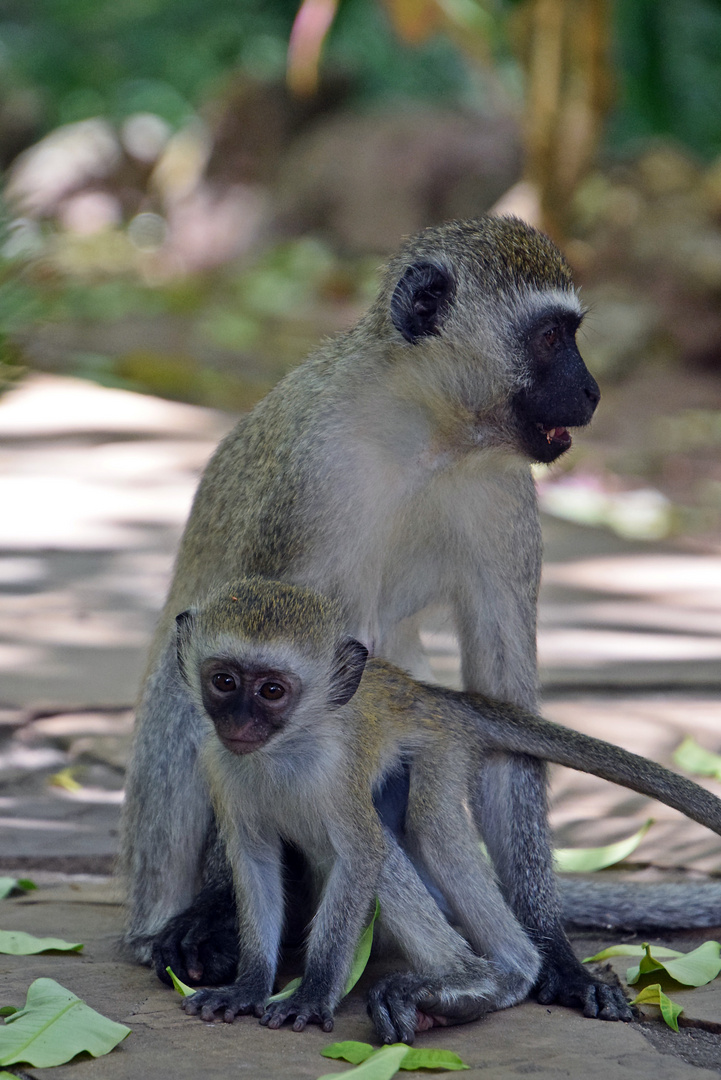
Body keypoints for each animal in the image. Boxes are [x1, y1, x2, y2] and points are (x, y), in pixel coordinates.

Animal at [122, 217, 608, 1010]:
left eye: (570, 335)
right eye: (547, 339)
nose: (592, 391)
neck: (426, 435)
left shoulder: (505, 498)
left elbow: (504, 702)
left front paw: (557, 953)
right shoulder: (310, 475)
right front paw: (223, 916)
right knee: (180, 693)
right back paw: (181, 925)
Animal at [177, 583, 721, 1045]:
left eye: (271, 691)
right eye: (224, 682)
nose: (239, 723)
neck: (282, 750)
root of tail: (429, 695)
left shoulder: (338, 773)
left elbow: (363, 854)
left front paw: (312, 993)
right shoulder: (219, 763)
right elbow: (254, 857)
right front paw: (249, 984)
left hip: (440, 748)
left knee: (423, 830)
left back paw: (488, 981)